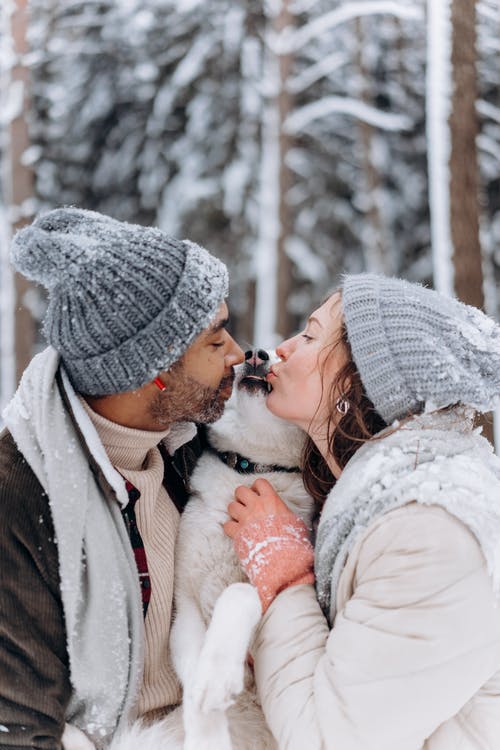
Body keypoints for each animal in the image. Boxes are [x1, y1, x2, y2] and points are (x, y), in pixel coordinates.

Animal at [107, 352, 314, 750]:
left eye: (282, 354)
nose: (256, 354)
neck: (250, 470)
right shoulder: (185, 607)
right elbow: (194, 676)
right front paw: (208, 712)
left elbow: (238, 592)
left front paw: (218, 679)